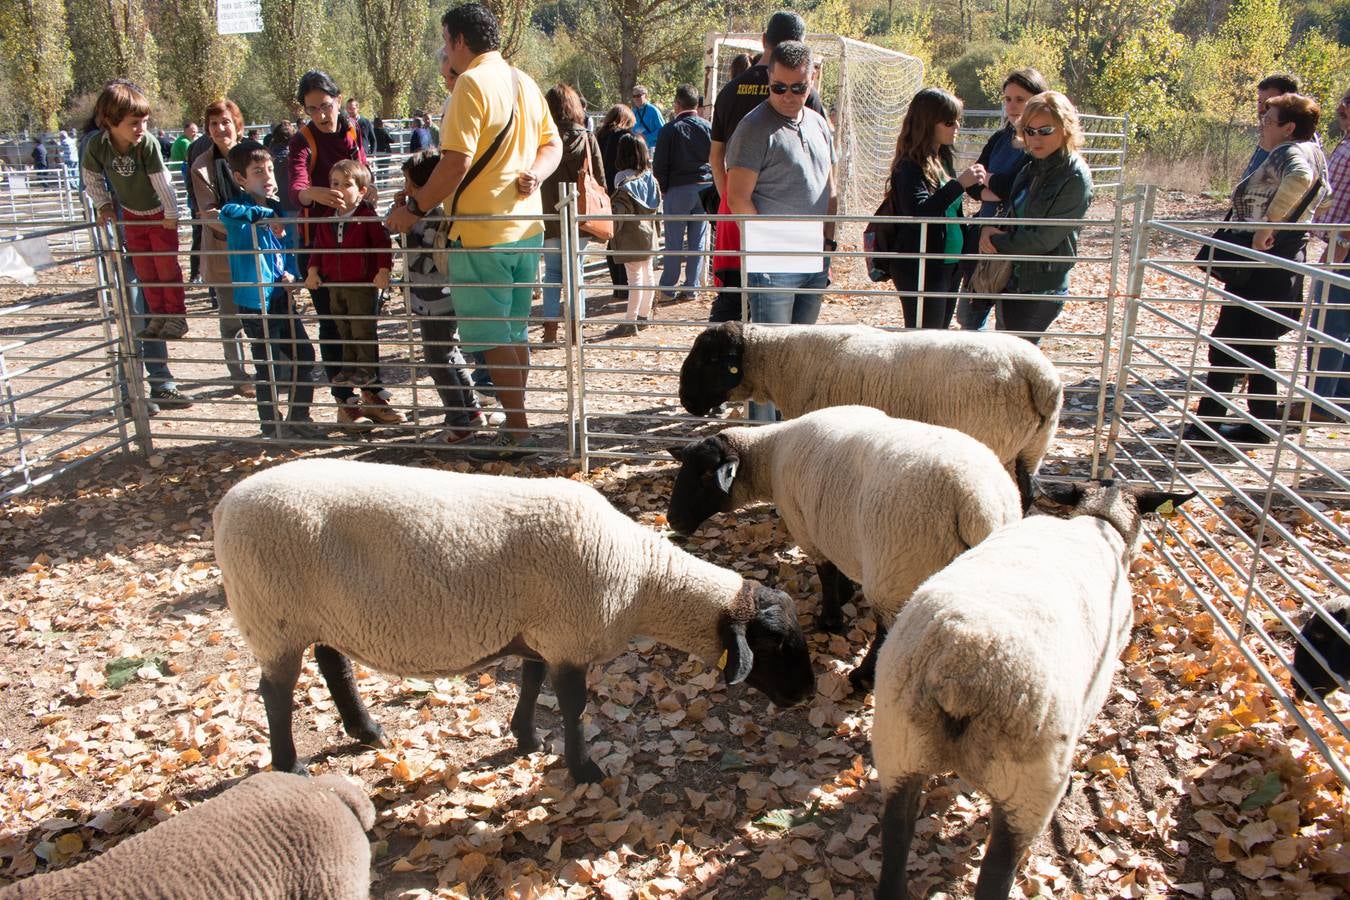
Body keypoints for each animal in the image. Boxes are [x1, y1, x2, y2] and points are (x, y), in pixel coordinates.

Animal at [210, 461, 810, 782]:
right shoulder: (570, 635)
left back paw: (367, 730)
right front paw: (583, 768)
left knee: (333, 665)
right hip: (273, 615)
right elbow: (572, 705)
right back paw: (289, 765)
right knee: (275, 692)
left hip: (321, 612)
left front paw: (527, 739)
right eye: (775, 644)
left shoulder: (540, 631)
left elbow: (530, 681)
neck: (641, 579)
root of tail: (224, 506)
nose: (806, 694)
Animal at [664, 407, 1020, 690]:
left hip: (897, 569)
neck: (771, 453)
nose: (672, 519)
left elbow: (826, 572)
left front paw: (830, 619)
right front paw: (847, 593)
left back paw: (863, 678)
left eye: (706, 474)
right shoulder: (834, 526)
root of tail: (978, 503)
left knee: (887, 628)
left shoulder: (807, 526)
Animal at [675, 322, 1063, 507]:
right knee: (1027, 491)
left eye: (709, 359)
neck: (780, 361)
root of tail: (1040, 377)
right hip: (1034, 448)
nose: (685, 400)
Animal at [869, 483, 1198, 900]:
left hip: (899, 746)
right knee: (996, 873)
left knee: (896, 838)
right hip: (1028, 787)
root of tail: (961, 667)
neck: (1099, 524)